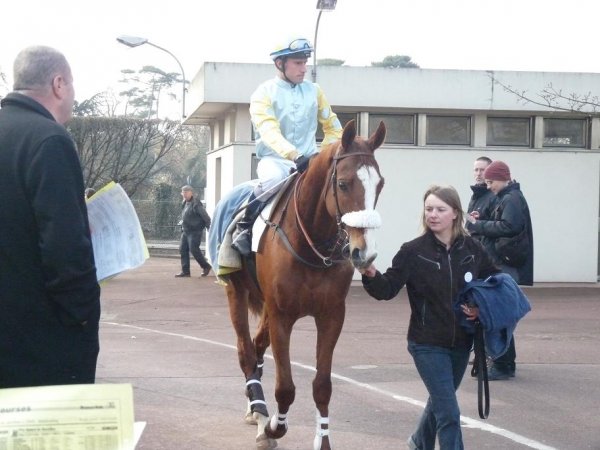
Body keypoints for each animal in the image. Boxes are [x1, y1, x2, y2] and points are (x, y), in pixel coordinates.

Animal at [218, 120, 386, 450]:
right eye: (343, 184)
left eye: (380, 184)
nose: (364, 253)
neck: (309, 245)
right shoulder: (282, 316)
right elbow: (285, 387)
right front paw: (273, 427)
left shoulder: (331, 316)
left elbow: (322, 385)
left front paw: (323, 441)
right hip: (236, 291)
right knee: (246, 351)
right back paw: (260, 413)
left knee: (257, 347)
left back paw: (254, 409)